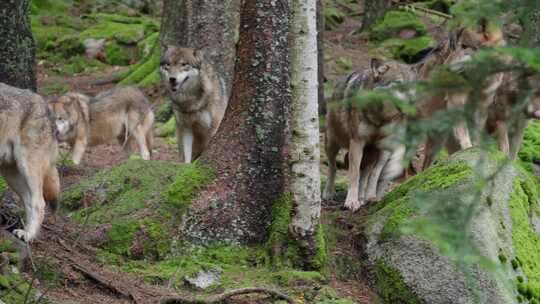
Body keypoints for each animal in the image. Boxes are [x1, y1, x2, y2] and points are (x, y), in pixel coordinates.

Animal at [0, 82, 60, 241]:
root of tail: (44, 104)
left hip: (28, 167)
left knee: (39, 202)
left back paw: (28, 236)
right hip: (11, 174)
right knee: (28, 201)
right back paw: (26, 232)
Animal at [322, 58, 416, 211]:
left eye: (414, 86)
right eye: (398, 83)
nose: (414, 101)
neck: (380, 118)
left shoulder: (384, 146)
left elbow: (375, 174)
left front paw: (370, 197)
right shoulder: (357, 142)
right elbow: (354, 174)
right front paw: (351, 201)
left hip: (372, 153)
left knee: (366, 173)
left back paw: (364, 197)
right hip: (331, 143)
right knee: (333, 167)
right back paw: (328, 193)